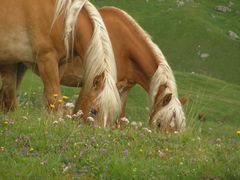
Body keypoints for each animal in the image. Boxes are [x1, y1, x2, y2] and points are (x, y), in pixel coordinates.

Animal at [4, 6, 187, 131]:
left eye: (178, 127)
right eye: (159, 124)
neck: (125, 46)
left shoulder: (123, 89)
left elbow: (119, 119)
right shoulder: (94, 83)